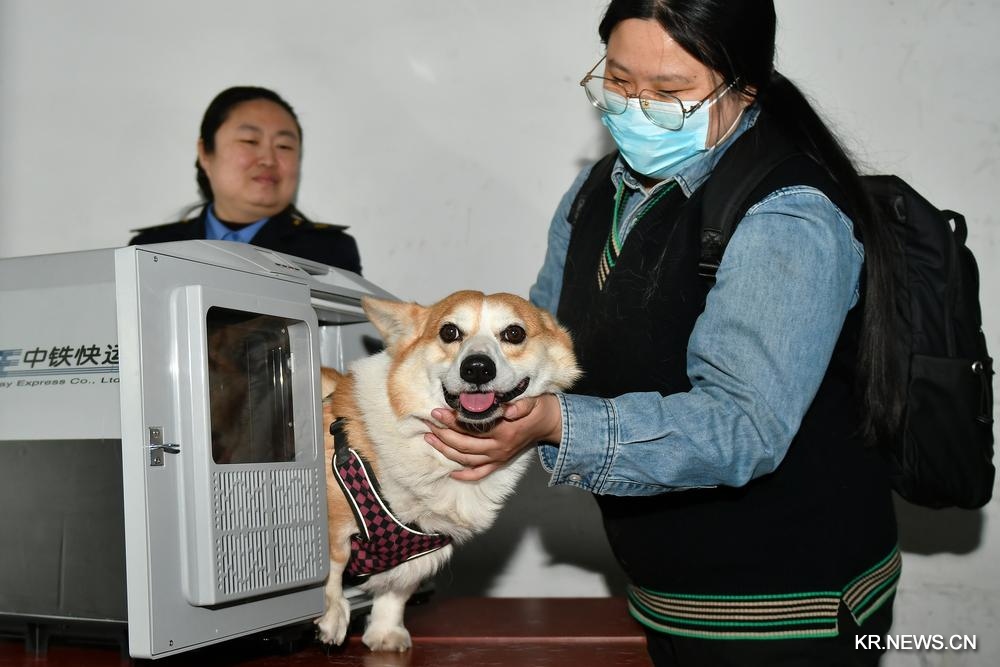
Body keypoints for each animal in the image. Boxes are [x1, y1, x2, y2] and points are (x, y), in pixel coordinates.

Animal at [314, 290, 579, 652]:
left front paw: (385, 633)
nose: (477, 369)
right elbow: (332, 566)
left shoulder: (417, 552)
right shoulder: (333, 520)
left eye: (514, 333)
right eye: (449, 332)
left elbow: (395, 592)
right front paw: (332, 615)